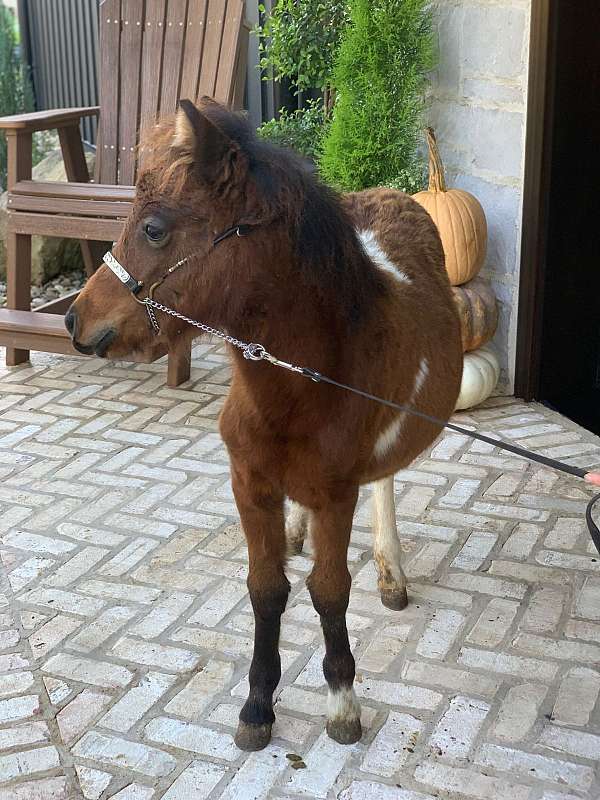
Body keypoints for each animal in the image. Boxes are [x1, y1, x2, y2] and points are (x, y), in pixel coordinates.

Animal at [65, 98, 463, 751]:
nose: (76, 320)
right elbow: (266, 588)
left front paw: (342, 704)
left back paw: (390, 572)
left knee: (384, 478)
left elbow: (329, 591)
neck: (303, 384)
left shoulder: (336, 494)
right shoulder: (249, 484)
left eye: (154, 228)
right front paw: (257, 704)